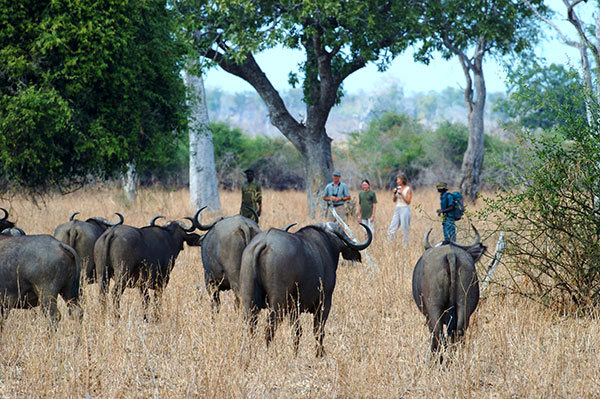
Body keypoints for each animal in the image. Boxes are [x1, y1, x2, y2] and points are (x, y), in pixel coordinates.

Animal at [238, 223, 370, 358]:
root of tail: (265, 242)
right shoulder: (324, 302)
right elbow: (318, 330)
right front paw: (319, 354)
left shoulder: (294, 309)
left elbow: (297, 332)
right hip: (277, 304)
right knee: (269, 328)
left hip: (250, 303)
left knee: (251, 328)